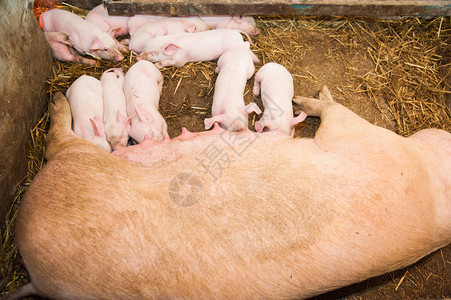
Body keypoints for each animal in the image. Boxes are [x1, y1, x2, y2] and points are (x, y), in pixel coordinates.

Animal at [7, 86, 451, 298]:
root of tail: (39, 279)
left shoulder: (363, 139)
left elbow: (334, 111)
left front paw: (311, 97)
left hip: (74, 167)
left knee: (57, 141)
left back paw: (55, 101)